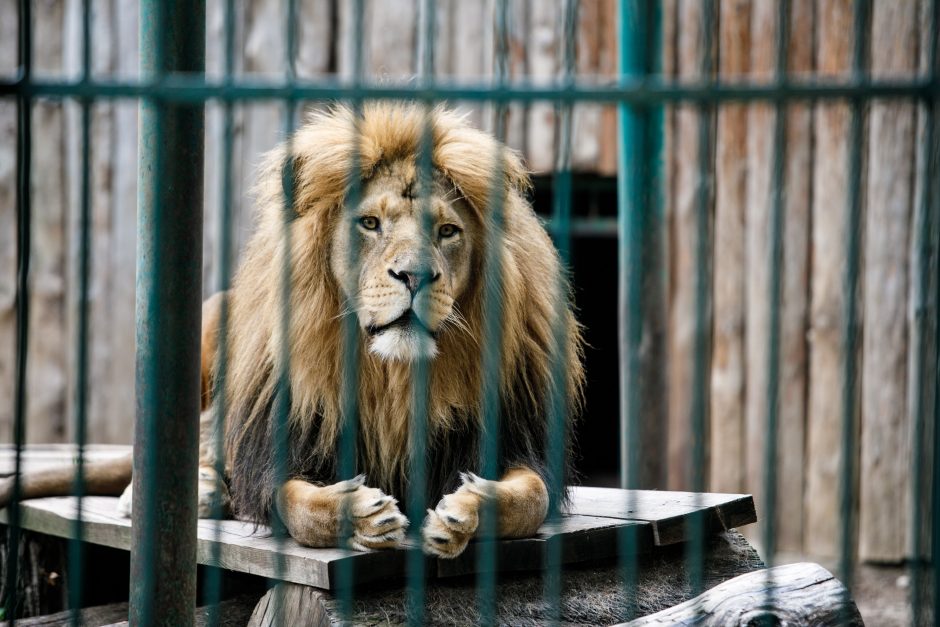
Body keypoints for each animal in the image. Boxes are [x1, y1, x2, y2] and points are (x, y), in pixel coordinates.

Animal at [0, 103, 584, 560]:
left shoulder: (519, 435)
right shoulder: (278, 442)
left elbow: (530, 497)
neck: (391, 377)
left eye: (447, 231)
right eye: (369, 223)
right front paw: (361, 514)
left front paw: (465, 510)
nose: (415, 275)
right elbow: (294, 503)